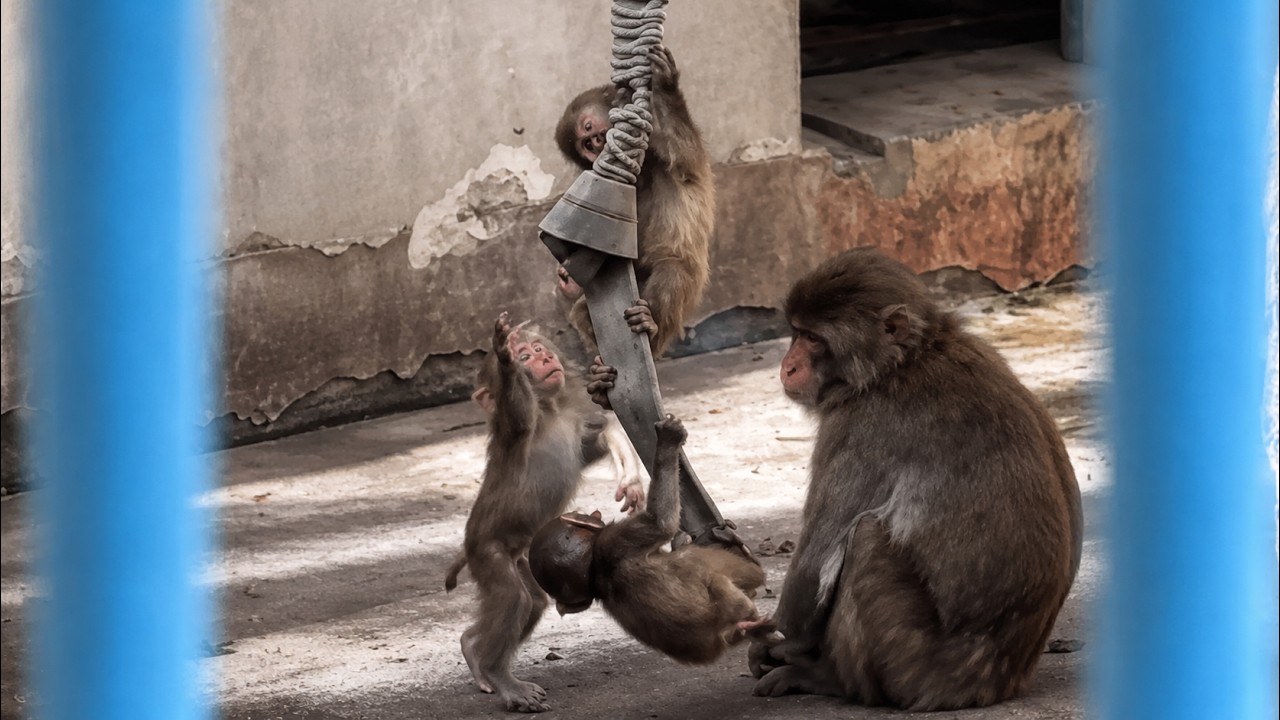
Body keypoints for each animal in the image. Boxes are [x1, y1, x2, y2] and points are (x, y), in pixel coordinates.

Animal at [443, 313, 644, 713]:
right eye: (527, 355)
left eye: (539, 348)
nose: (543, 357)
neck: (550, 411)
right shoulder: (517, 428)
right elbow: (518, 410)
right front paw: (503, 351)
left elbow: (597, 439)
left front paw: (629, 473)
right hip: (488, 553)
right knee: (514, 599)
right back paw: (503, 679)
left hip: (522, 556)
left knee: (533, 602)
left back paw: (474, 650)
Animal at [527, 414, 775, 665]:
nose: (593, 513)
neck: (596, 573)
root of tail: (725, 635)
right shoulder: (615, 539)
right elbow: (660, 522)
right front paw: (668, 442)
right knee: (713, 573)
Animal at [554, 45, 714, 358]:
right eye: (585, 144)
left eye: (590, 128)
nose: (595, 143)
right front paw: (568, 279)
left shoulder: (662, 146)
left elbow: (685, 154)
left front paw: (666, 86)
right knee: (582, 310)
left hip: (691, 283)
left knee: (672, 272)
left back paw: (650, 329)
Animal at [747, 249, 1084, 711]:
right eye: (795, 332)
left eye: (813, 338)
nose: (788, 365)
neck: (904, 361)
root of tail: (994, 684)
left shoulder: (858, 425)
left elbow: (813, 568)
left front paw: (778, 641)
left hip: (911, 664)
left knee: (865, 539)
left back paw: (825, 677)